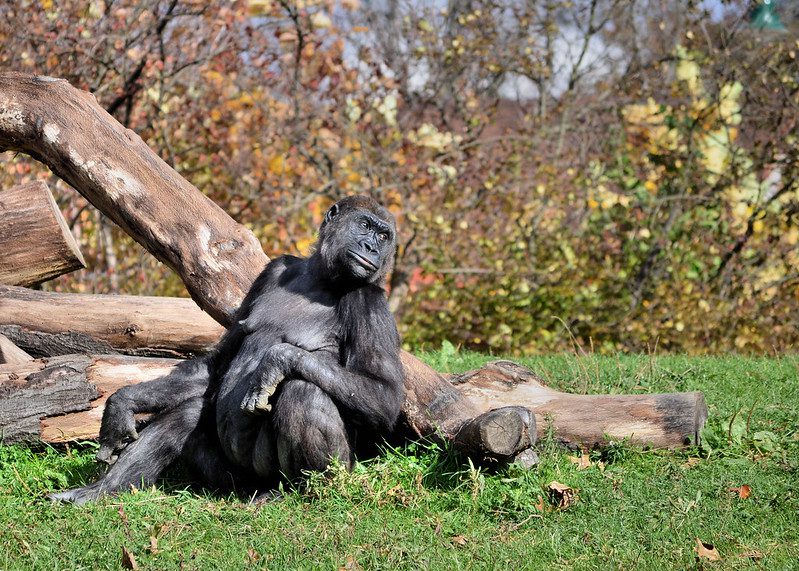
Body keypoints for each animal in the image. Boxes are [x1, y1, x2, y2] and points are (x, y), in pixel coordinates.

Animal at [51, 197, 406, 504]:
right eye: (365, 225)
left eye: (384, 235)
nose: (373, 248)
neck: (322, 277)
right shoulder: (273, 270)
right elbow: (216, 365)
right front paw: (123, 402)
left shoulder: (369, 301)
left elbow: (383, 395)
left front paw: (277, 359)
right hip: (234, 481)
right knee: (189, 413)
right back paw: (103, 489)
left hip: (334, 473)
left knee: (302, 391)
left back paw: (303, 491)